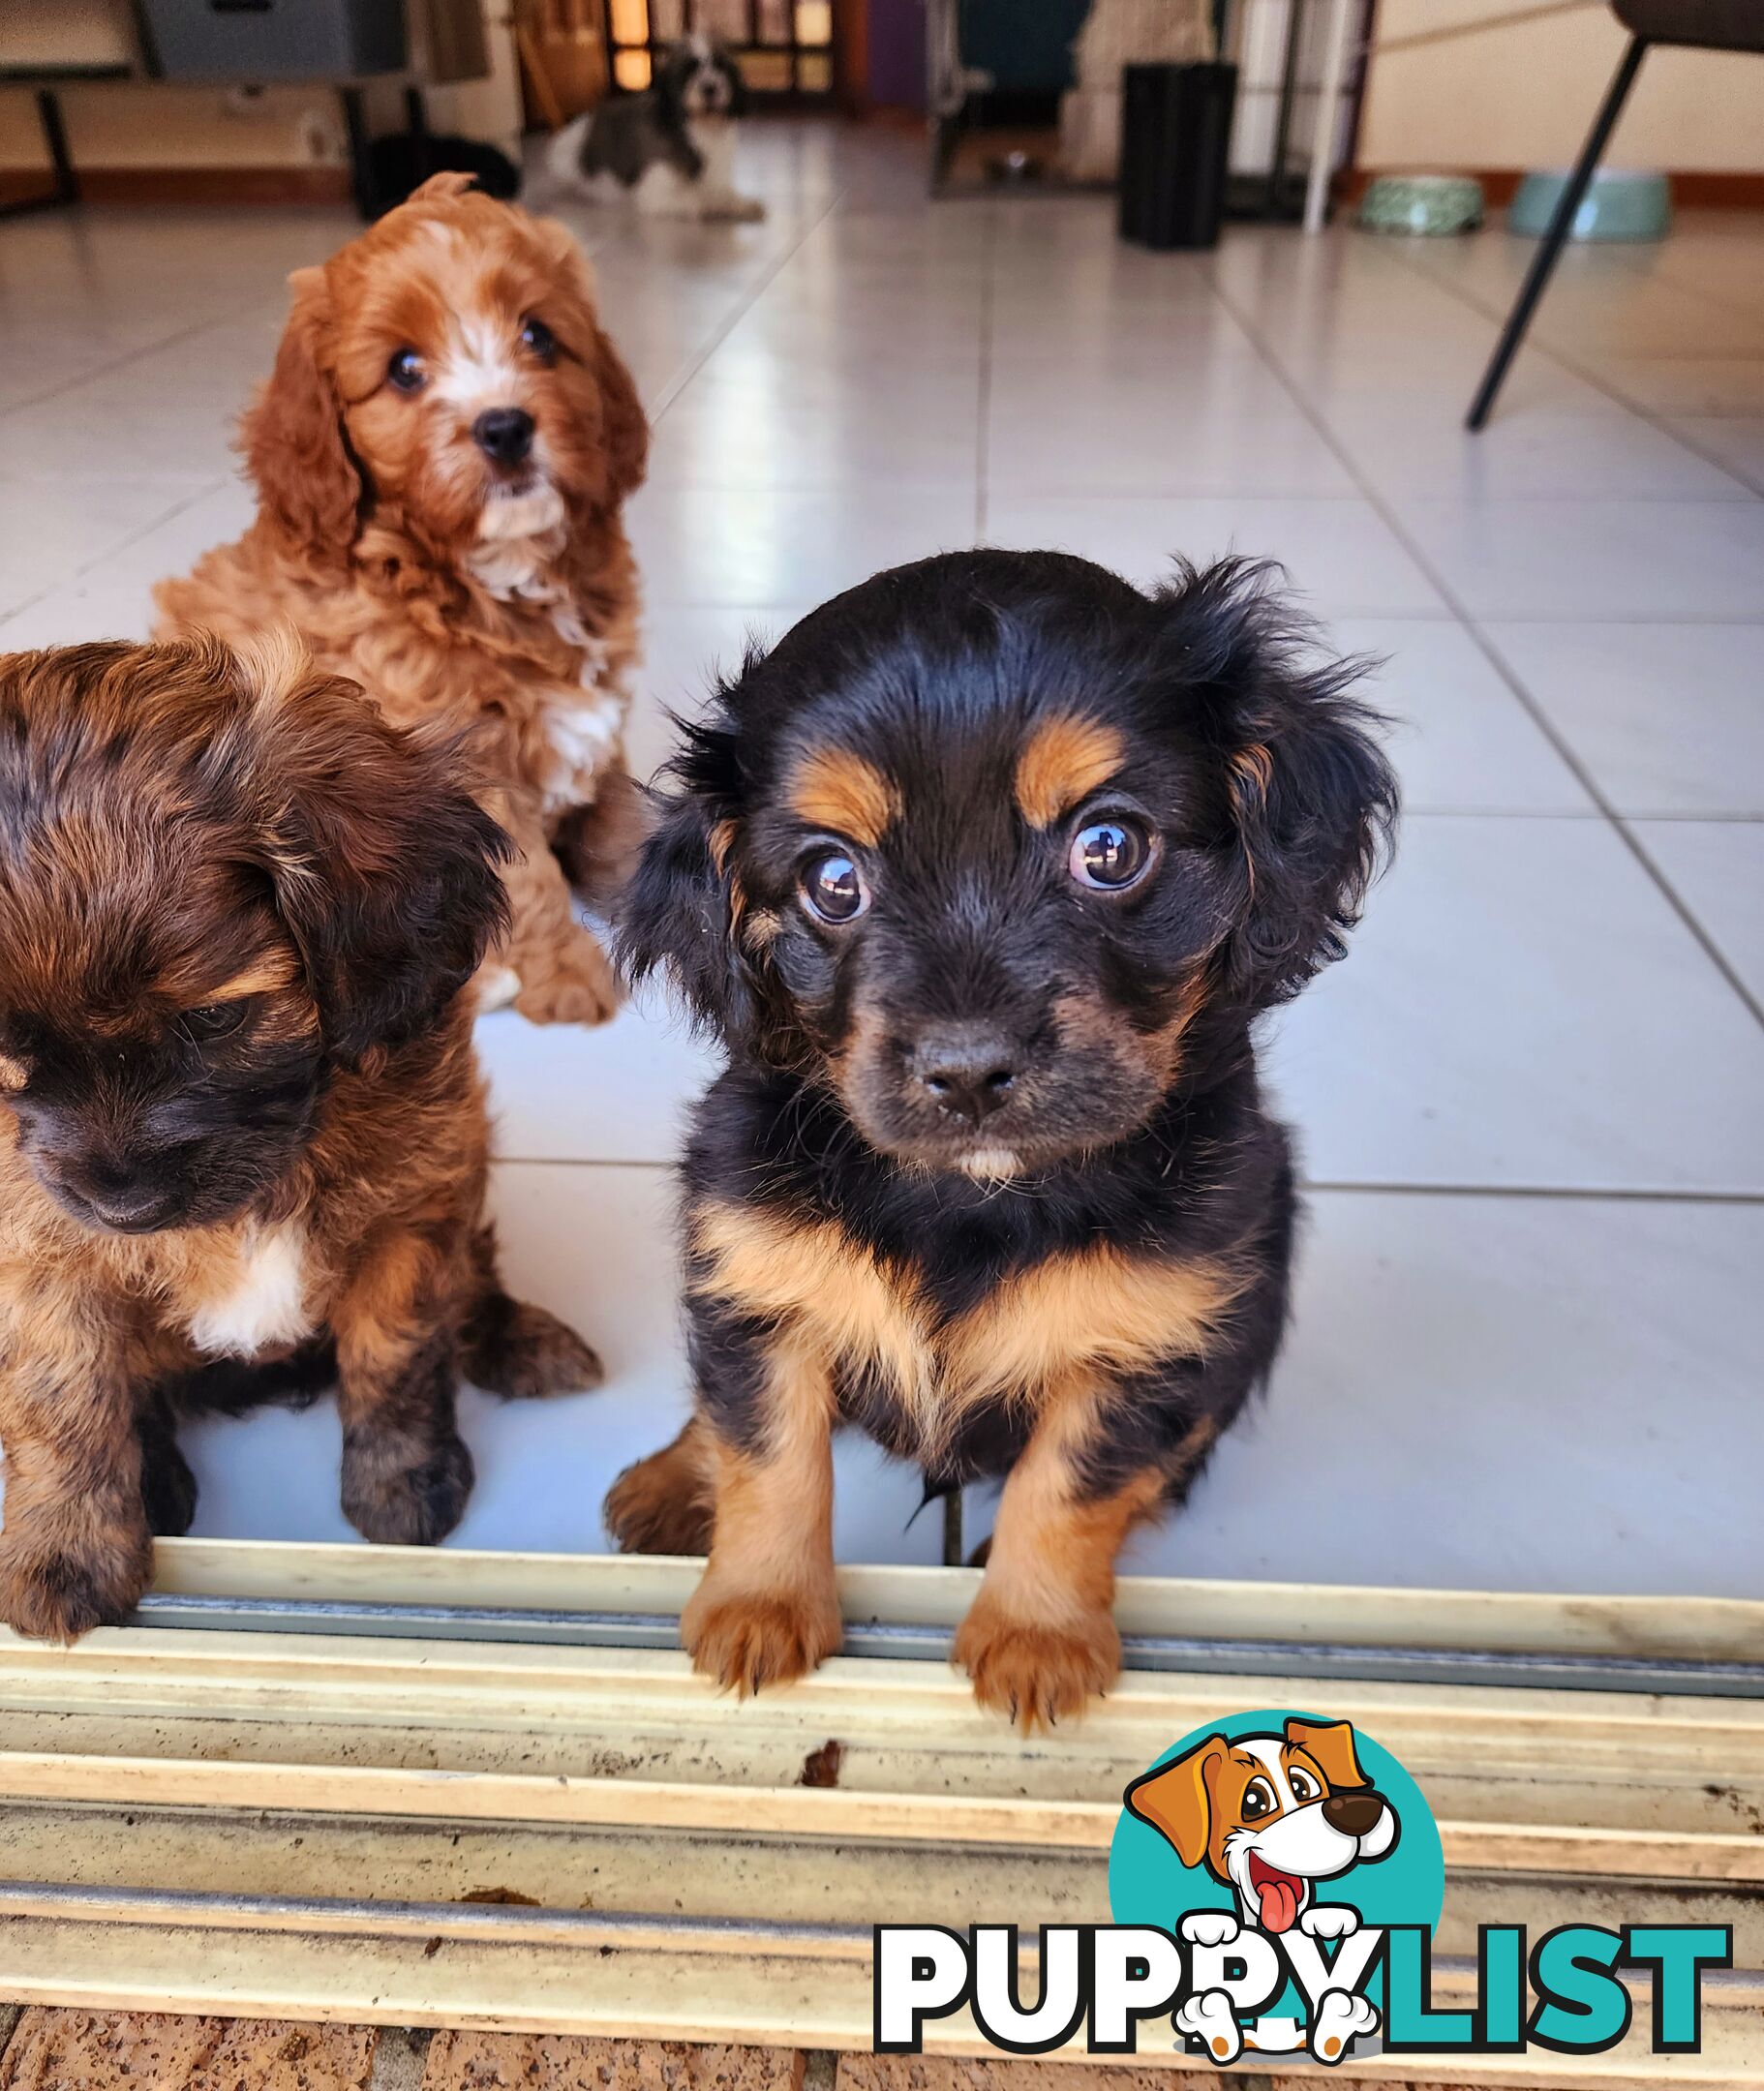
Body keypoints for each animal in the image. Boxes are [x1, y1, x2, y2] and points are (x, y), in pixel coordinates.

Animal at [0, 627, 597, 1639]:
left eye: (213, 1019)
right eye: (5, 1053)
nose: (123, 1202)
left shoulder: (413, 1210)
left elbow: (396, 1354)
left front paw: (401, 1485)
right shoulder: (38, 1258)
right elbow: (62, 1399)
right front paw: (65, 1552)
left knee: (473, 1276)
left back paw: (522, 1339)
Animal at [154, 168, 652, 1028]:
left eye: (539, 337)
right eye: (405, 369)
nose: (505, 428)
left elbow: (625, 823)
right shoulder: (463, 772)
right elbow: (530, 877)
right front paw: (566, 972)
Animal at [543, 36, 765, 223]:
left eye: (720, 67)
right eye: (688, 71)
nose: (710, 87)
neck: (699, 129)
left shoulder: (717, 178)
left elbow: (723, 193)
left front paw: (739, 203)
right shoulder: (655, 193)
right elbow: (698, 199)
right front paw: (716, 206)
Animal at [614, 547, 1396, 1722]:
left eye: (1109, 847)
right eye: (832, 880)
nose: (970, 1069)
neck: (969, 1197)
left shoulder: (1150, 1340)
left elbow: (1070, 1487)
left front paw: (1035, 1636)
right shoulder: (755, 1275)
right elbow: (769, 1450)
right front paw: (757, 1607)